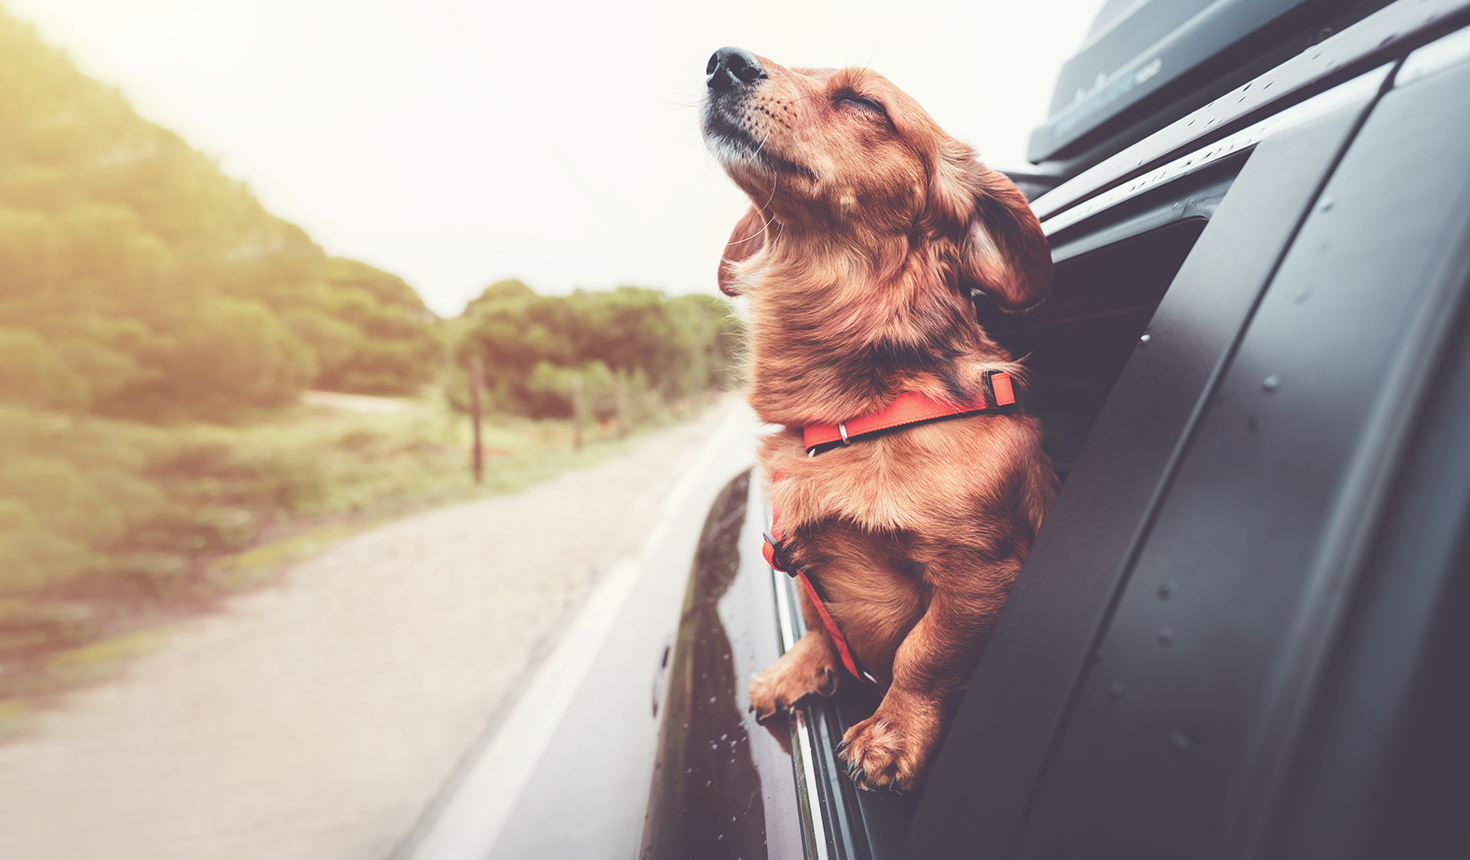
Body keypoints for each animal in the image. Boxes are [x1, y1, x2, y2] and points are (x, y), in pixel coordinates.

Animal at [699, 47, 1058, 793]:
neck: (853, 417)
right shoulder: (797, 552)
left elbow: (925, 654)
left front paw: (892, 733)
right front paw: (803, 668)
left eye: (865, 104)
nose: (722, 61)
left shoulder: (979, 574)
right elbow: (818, 617)